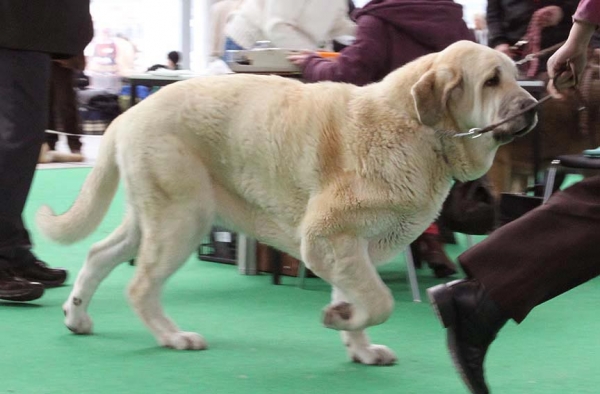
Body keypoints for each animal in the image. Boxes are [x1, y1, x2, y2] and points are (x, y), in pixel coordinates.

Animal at [35, 41, 536, 364]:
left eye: (515, 75)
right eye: (491, 81)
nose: (533, 106)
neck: (420, 129)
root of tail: (129, 114)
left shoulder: (350, 247)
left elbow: (357, 294)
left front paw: (356, 341)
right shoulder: (328, 235)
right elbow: (378, 300)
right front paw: (343, 320)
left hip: (153, 217)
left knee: (99, 254)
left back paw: (76, 316)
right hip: (182, 218)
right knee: (140, 286)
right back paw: (174, 337)